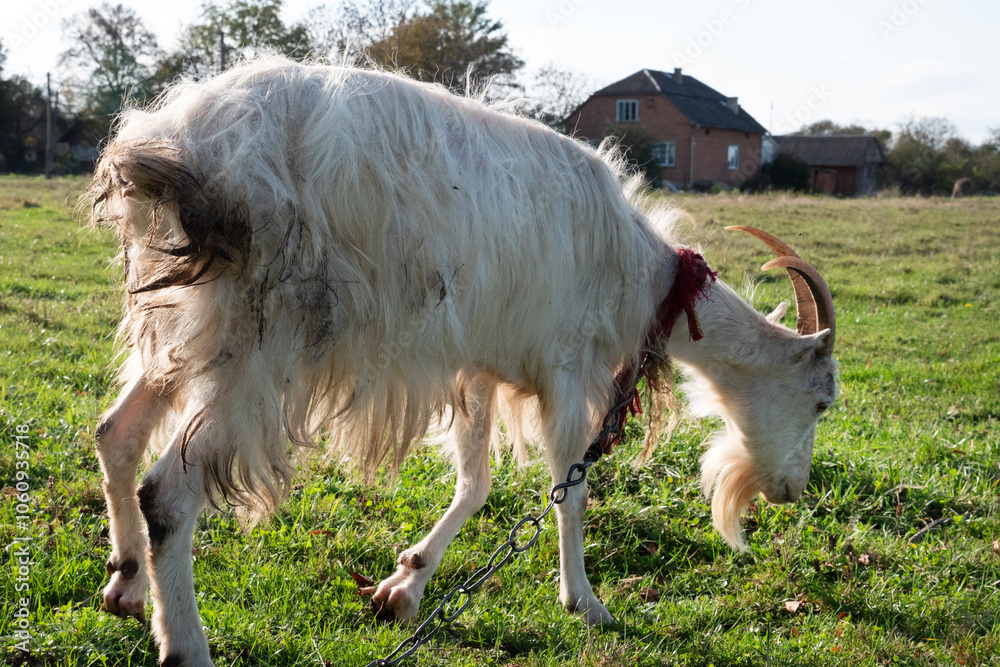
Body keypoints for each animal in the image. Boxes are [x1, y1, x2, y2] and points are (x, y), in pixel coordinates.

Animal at [88, 58, 837, 667]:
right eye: (823, 399)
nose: (791, 489)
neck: (644, 276)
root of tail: (180, 142)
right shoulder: (565, 367)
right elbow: (570, 487)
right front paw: (584, 601)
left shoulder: (478, 367)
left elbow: (475, 481)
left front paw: (404, 586)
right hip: (261, 343)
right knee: (169, 491)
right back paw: (186, 645)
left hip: (186, 328)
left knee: (116, 433)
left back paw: (126, 585)